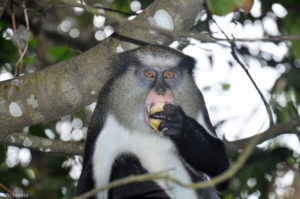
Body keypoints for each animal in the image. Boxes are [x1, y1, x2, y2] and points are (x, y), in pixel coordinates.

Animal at [77, 45, 230, 199]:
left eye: (169, 75)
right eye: (149, 74)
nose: (161, 90)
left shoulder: (198, 105)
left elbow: (221, 170)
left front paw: (181, 127)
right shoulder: (105, 119)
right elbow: (87, 185)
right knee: (125, 161)